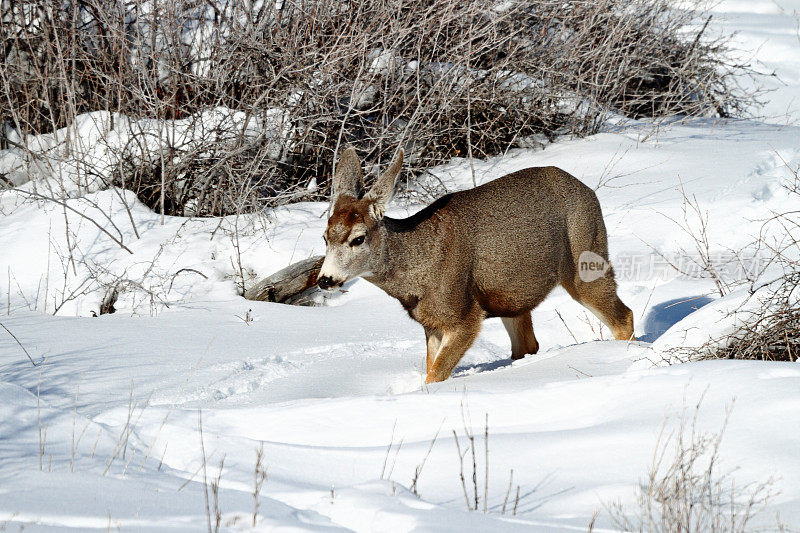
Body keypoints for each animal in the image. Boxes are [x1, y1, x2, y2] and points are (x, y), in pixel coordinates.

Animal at [316, 149, 636, 382]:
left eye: (358, 238)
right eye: (325, 236)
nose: (325, 279)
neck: (415, 273)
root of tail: (589, 191)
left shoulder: (463, 314)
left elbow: (435, 376)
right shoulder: (431, 323)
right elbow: (430, 367)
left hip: (587, 258)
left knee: (624, 317)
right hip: (511, 296)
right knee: (527, 345)